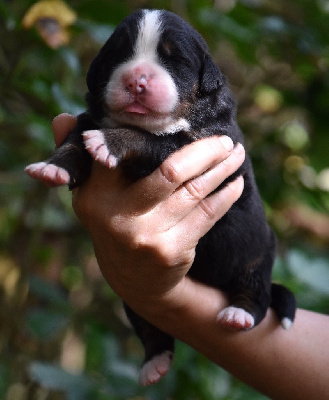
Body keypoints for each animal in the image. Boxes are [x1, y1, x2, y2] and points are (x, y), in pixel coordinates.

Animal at [26, 8, 294, 384]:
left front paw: (109, 141)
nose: (136, 81)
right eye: (120, 53)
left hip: (257, 252)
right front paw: (53, 168)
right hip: (134, 298)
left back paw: (238, 313)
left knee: (255, 293)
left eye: (174, 59)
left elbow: (150, 141)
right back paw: (154, 361)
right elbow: (74, 143)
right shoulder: (87, 120)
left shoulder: (198, 144)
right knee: (150, 326)